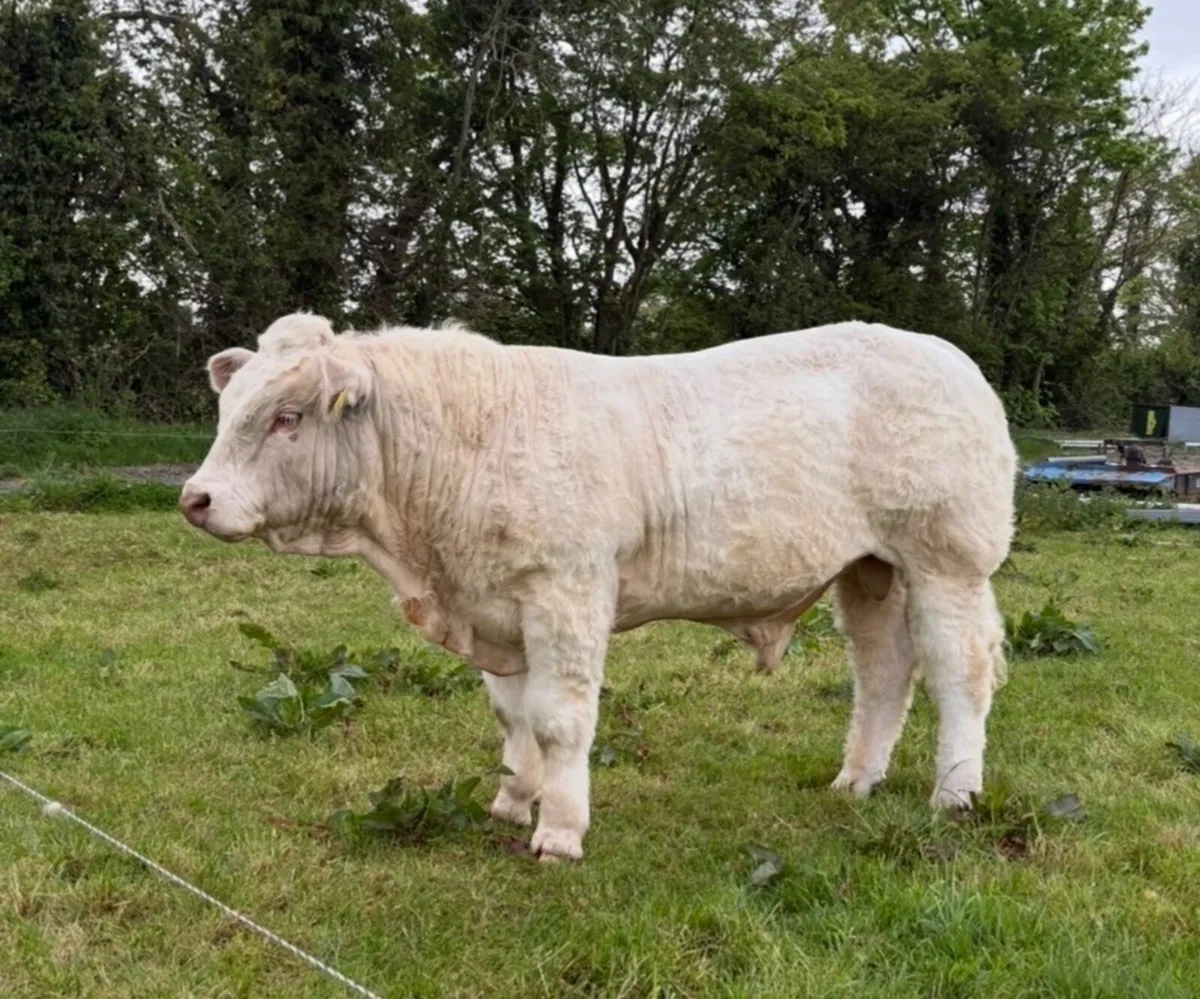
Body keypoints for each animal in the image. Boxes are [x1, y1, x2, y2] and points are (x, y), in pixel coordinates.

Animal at [180, 313, 1016, 861]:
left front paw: (559, 828)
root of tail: (946, 354)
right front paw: (513, 799)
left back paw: (955, 793)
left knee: (959, 672)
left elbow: (558, 720)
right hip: (868, 569)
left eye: (287, 417)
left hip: (946, 558)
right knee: (883, 672)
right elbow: (511, 715)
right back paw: (856, 779)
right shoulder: (498, 604)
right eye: (229, 407)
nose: (196, 497)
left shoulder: (566, 591)